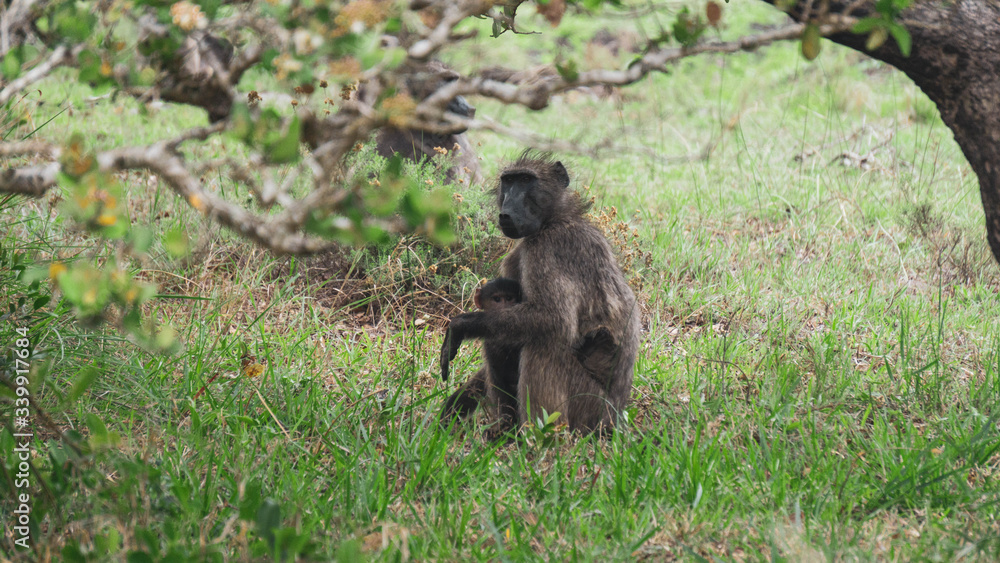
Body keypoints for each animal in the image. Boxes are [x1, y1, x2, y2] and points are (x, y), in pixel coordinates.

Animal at [440, 152, 640, 434]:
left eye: (526, 180)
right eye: (508, 182)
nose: (506, 212)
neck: (555, 219)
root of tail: (615, 418)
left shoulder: (547, 248)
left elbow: (553, 318)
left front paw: (460, 326)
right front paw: (455, 406)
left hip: (590, 410)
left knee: (543, 344)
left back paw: (539, 438)